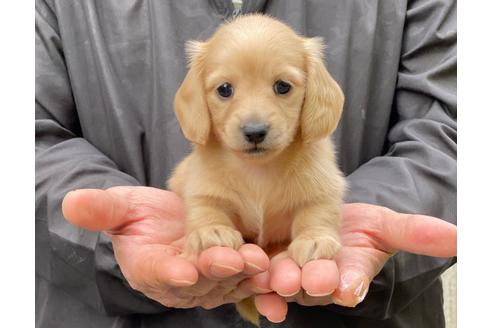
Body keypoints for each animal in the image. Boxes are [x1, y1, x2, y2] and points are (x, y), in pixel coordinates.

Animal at [167, 14, 344, 324]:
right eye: (224, 89)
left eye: (282, 86)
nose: (255, 132)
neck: (258, 170)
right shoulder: (201, 186)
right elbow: (206, 208)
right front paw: (212, 231)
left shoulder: (323, 185)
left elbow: (317, 211)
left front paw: (314, 239)